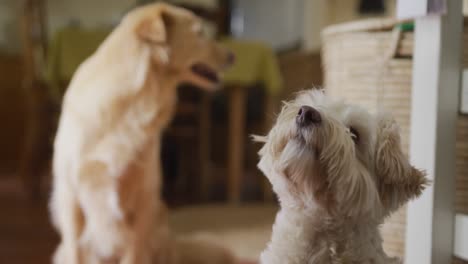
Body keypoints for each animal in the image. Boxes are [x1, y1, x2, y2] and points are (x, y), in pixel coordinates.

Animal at [49, 2, 236, 264]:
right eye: (199, 32)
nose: (233, 56)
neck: (133, 103)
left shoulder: (144, 200)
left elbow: (134, 253)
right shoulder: (70, 196)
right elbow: (76, 250)